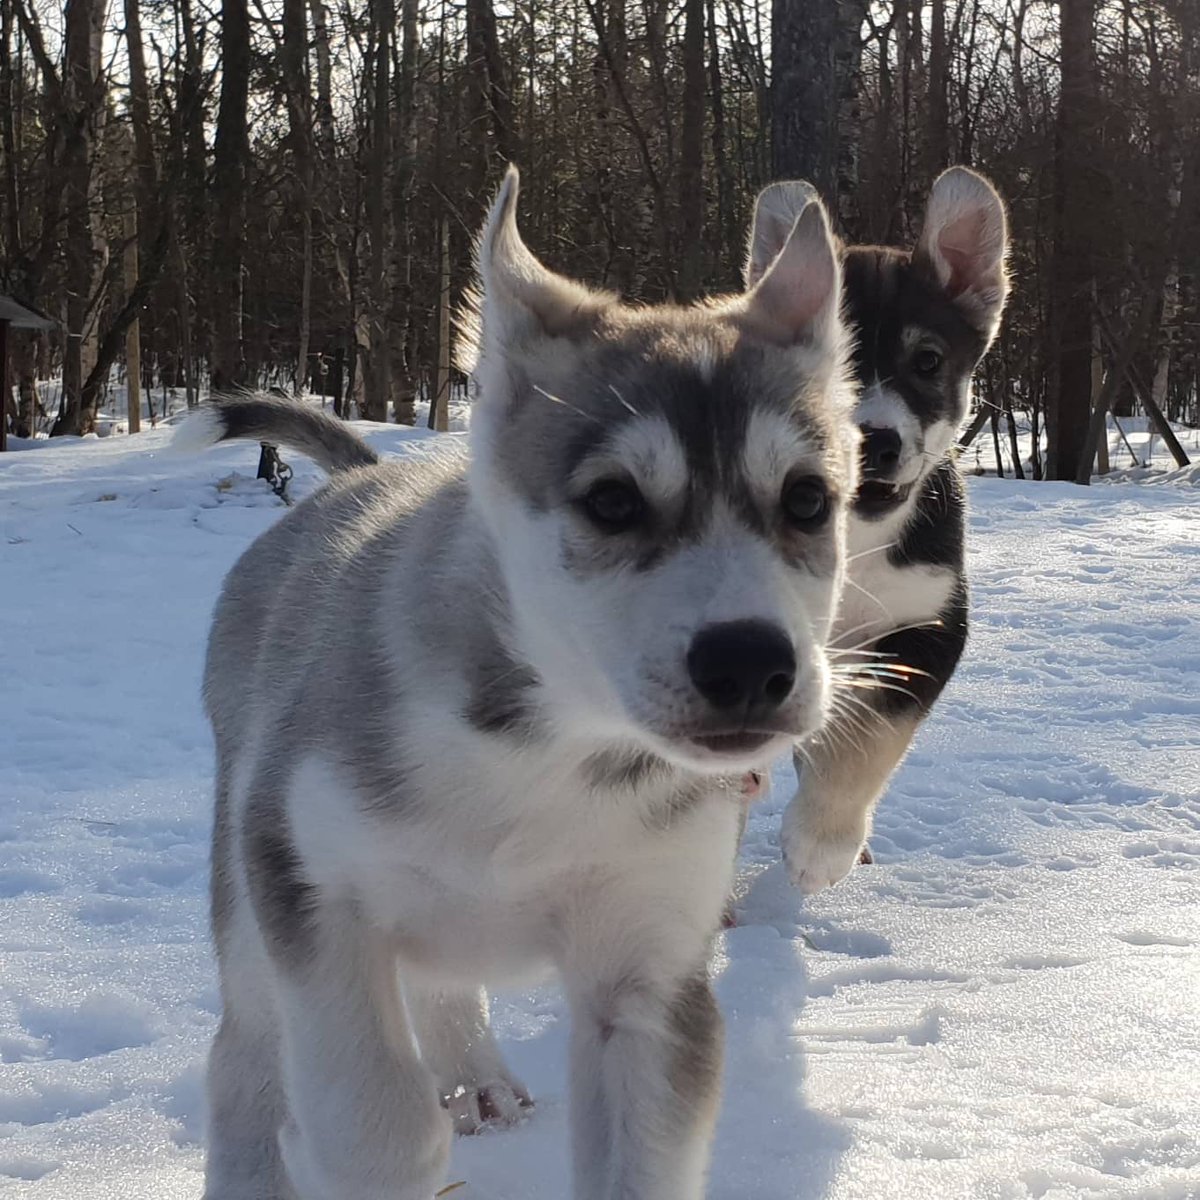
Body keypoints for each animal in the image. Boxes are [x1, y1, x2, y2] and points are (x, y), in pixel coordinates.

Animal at [189, 171, 864, 1200]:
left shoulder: (648, 972)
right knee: (243, 1062)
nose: (751, 662)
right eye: (613, 501)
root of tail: (357, 482)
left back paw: (479, 1076)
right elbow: (375, 1125)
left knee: (441, 983)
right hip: (248, 906)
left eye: (808, 500)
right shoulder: (307, 888)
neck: (549, 757)